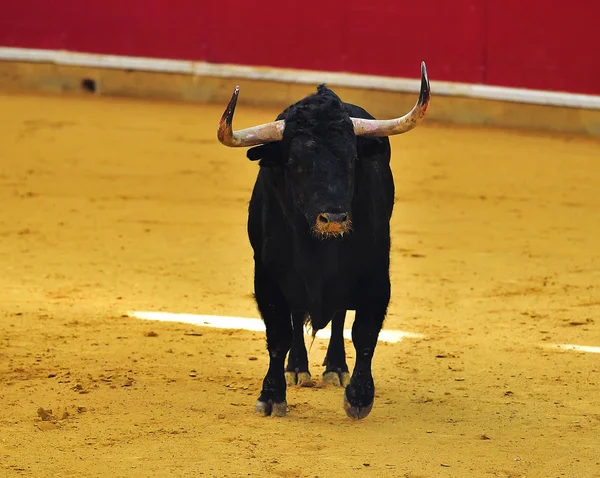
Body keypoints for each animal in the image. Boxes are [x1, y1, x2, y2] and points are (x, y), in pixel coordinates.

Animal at [218, 63, 428, 418]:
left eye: (352, 159)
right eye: (293, 162)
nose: (334, 218)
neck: (318, 253)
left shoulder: (375, 275)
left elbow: (365, 332)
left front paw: (359, 396)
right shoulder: (268, 278)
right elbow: (279, 334)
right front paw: (272, 395)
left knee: (340, 316)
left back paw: (335, 367)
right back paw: (297, 367)